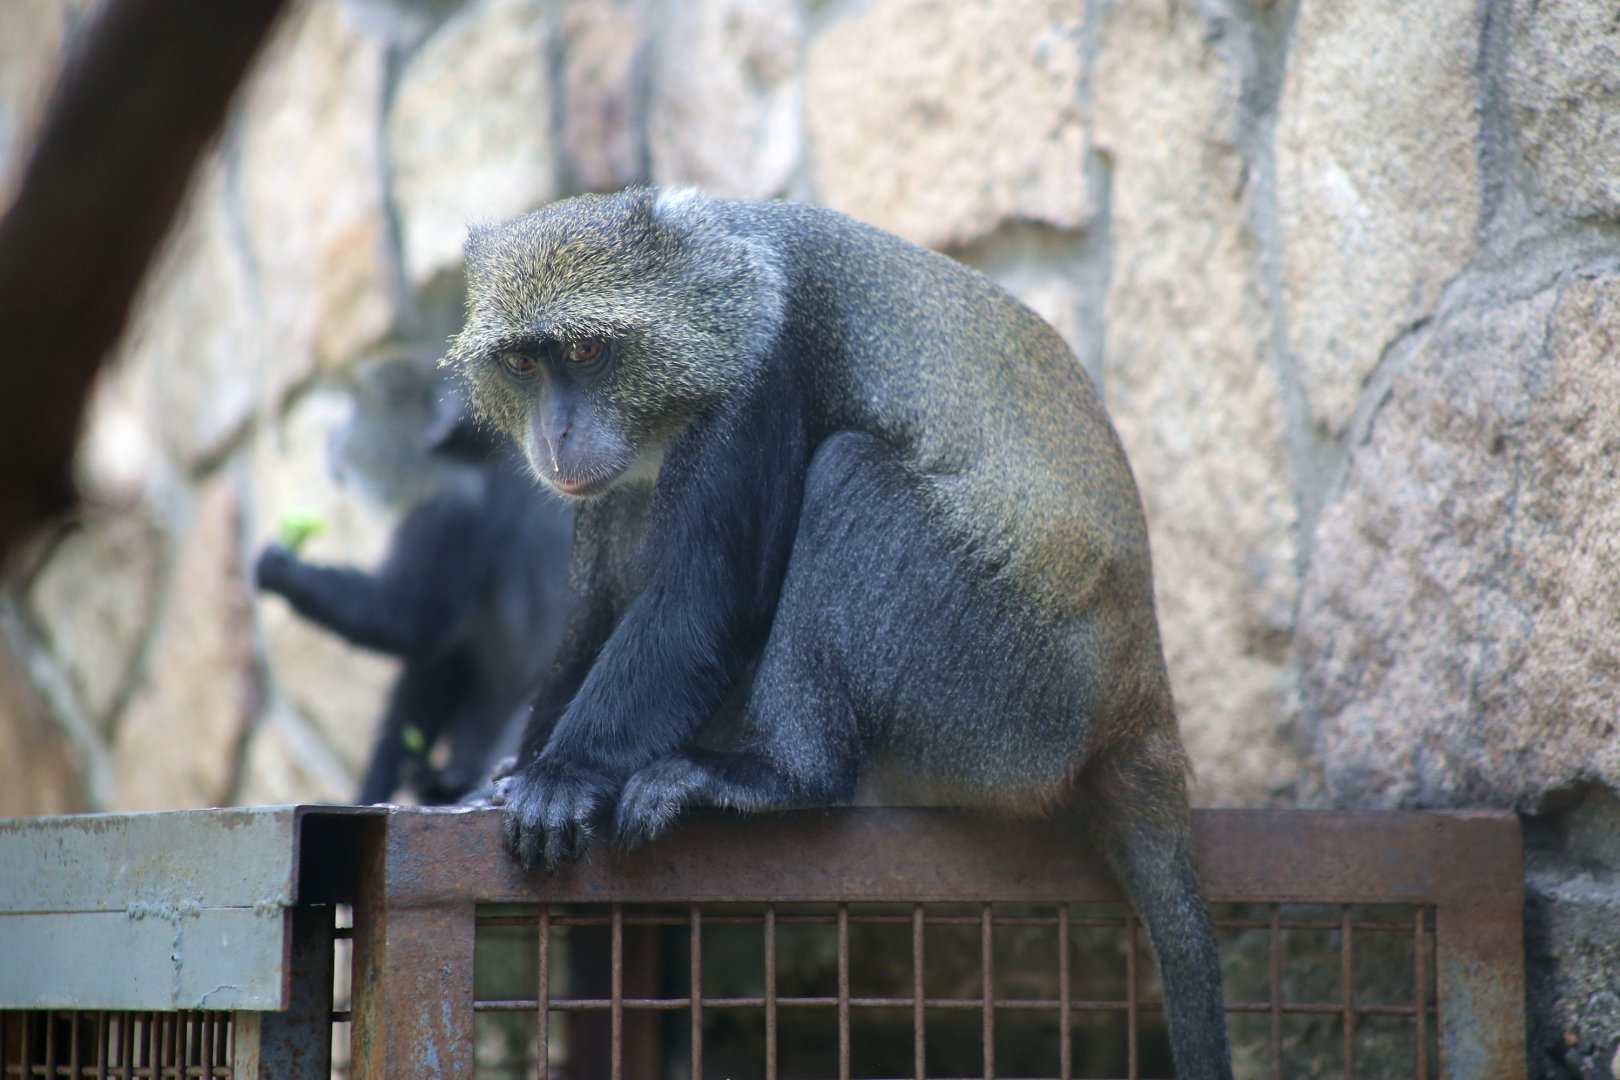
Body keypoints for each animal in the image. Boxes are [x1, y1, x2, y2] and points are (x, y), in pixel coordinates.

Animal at [255, 358, 574, 805]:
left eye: (358, 406)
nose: (332, 436)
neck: (474, 453)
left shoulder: (450, 510)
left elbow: (408, 620)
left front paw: (278, 569)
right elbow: (437, 667)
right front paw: (375, 786)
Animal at [442, 187, 1232, 1077]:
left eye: (585, 349)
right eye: (524, 364)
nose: (558, 434)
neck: (723, 276)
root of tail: (1136, 699)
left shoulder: (758, 381)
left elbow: (704, 604)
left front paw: (563, 778)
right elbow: (596, 611)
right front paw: (511, 777)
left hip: (1010, 697)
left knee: (849, 476)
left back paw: (781, 775)